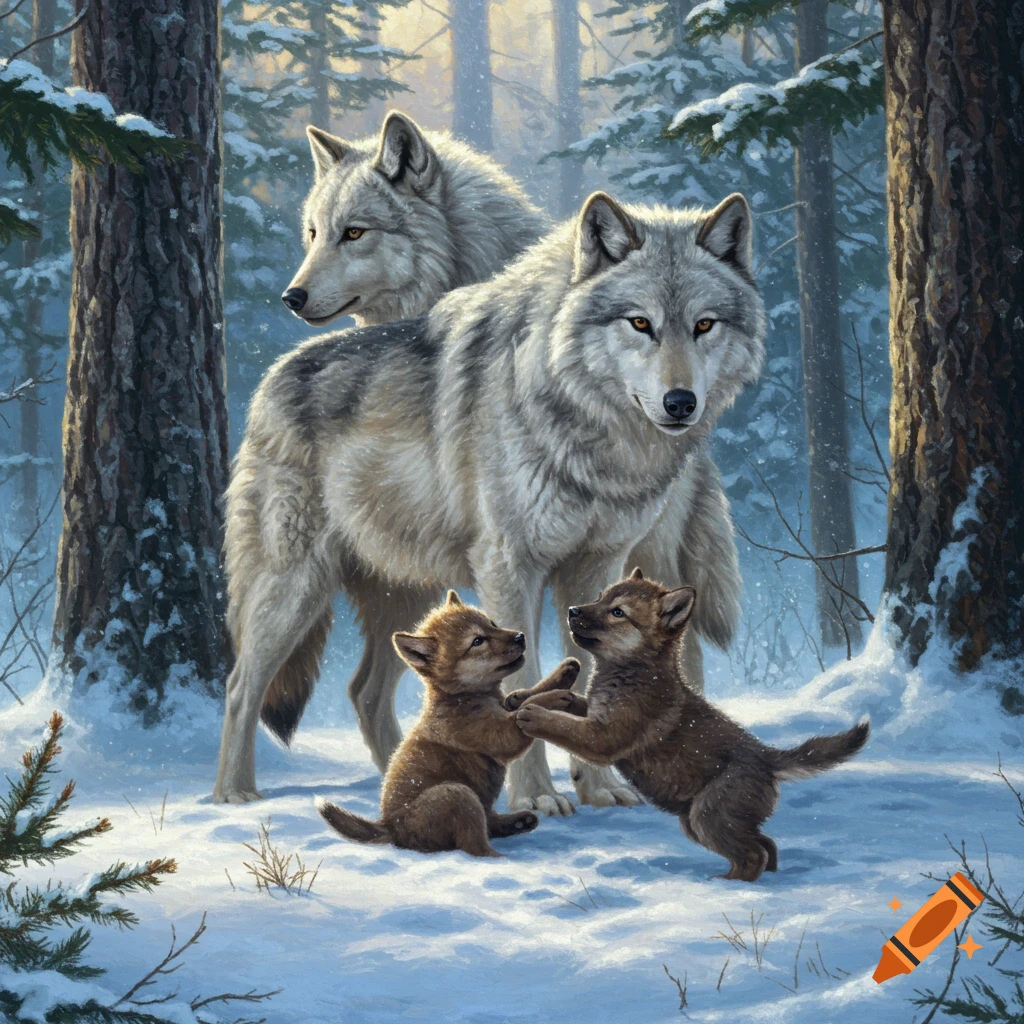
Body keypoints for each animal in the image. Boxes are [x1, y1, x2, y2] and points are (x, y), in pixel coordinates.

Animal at [213, 189, 766, 814]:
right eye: (641, 323)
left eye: (704, 325)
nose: (680, 402)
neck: (587, 430)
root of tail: (270, 379)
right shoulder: (509, 567)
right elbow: (523, 685)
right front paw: (537, 799)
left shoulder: (596, 566)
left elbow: (593, 671)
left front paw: (599, 786)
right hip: (294, 588)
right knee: (241, 685)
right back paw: (234, 795)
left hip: (409, 595)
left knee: (364, 692)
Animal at [316, 590, 584, 857]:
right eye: (477, 641)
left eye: (493, 624)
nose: (520, 636)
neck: (461, 698)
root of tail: (390, 828)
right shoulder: (497, 734)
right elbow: (528, 706)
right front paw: (555, 698)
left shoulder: (504, 708)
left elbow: (528, 693)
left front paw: (565, 671)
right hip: (458, 794)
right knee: (476, 844)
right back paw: (504, 857)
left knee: (489, 822)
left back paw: (519, 821)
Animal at [515, 569, 870, 881]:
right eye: (600, 597)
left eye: (618, 612)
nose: (573, 610)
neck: (634, 672)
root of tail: (765, 756)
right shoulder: (595, 715)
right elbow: (567, 700)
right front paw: (525, 696)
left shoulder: (604, 738)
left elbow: (563, 725)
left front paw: (533, 714)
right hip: (701, 822)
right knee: (766, 844)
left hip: (706, 816)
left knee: (754, 853)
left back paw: (728, 885)